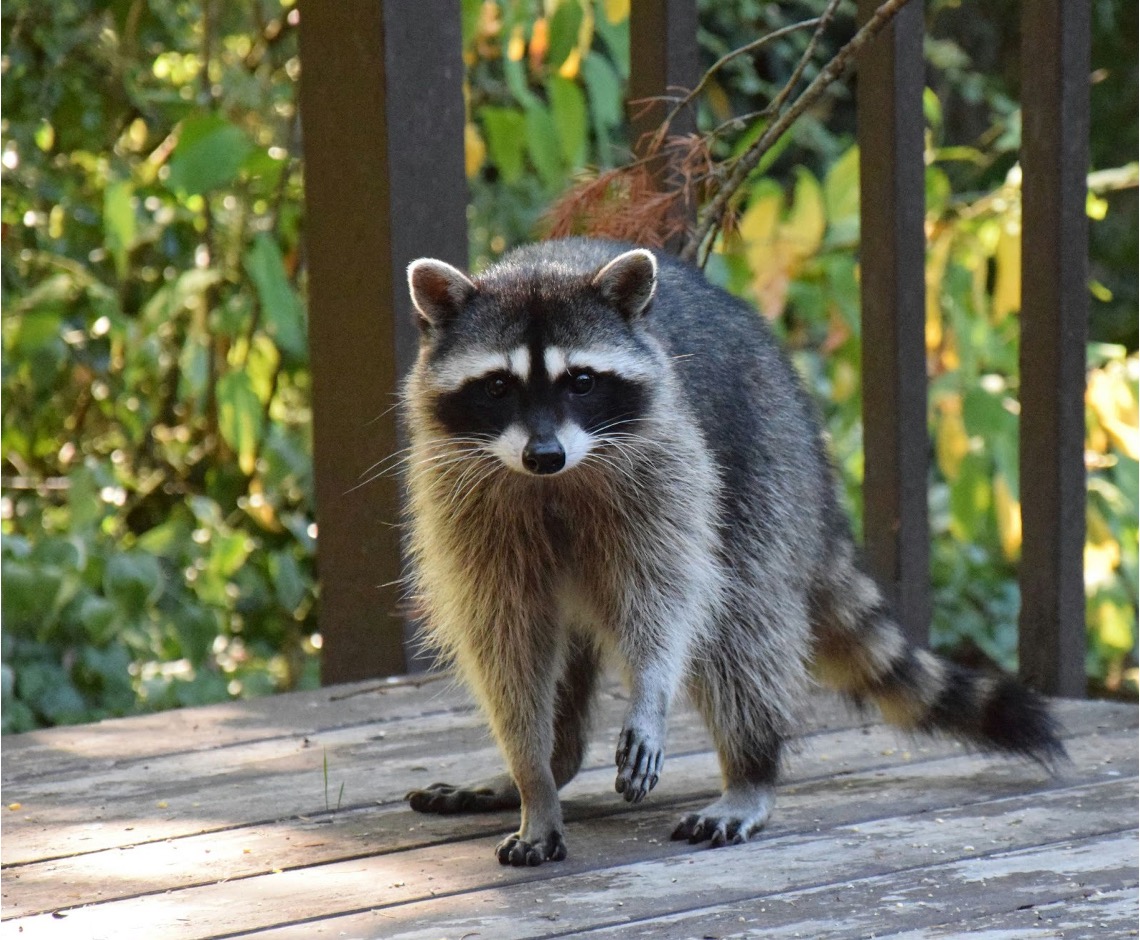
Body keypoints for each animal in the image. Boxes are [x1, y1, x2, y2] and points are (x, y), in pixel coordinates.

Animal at [400, 237, 1063, 867]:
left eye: (582, 382)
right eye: (498, 386)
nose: (544, 455)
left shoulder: (666, 463)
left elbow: (667, 595)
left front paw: (651, 690)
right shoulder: (464, 497)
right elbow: (504, 639)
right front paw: (532, 778)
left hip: (762, 463)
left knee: (739, 626)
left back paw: (751, 770)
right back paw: (555, 762)